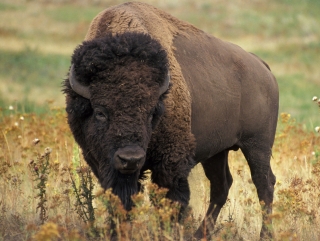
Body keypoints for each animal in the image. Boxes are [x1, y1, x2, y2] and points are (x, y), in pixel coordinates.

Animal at [63, 1, 278, 239]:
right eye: (100, 112)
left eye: (151, 113)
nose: (131, 158)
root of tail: (262, 66)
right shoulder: (102, 164)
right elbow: (121, 202)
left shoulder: (170, 163)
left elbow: (171, 202)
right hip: (217, 151)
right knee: (221, 185)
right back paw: (199, 235)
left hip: (257, 145)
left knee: (264, 184)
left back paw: (265, 235)